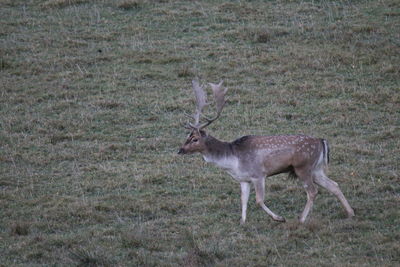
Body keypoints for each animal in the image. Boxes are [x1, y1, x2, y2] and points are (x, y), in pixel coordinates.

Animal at [179, 79, 356, 224]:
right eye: (187, 136)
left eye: (195, 139)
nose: (180, 150)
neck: (233, 160)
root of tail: (321, 141)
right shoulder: (244, 179)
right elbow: (243, 200)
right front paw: (242, 222)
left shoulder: (258, 174)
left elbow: (258, 200)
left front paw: (279, 218)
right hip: (316, 168)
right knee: (333, 185)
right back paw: (350, 213)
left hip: (303, 167)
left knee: (313, 191)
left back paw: (301, 219)